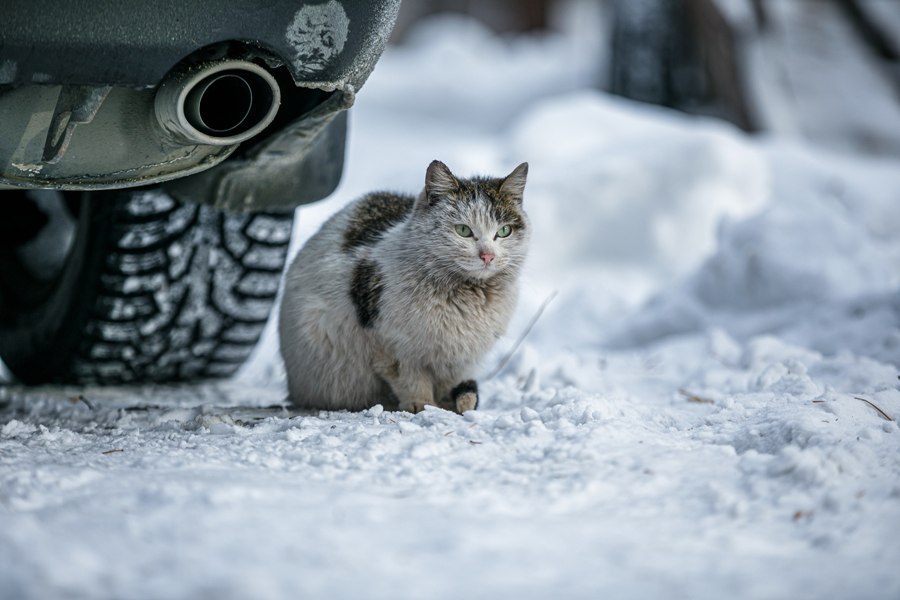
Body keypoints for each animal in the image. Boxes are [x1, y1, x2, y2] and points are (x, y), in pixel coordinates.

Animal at [276, 159, 528, 412]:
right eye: (463, 230)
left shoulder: (460, 357)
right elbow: (410, 378)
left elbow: (452, 384)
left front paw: (455, 409)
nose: (488, 256)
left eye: (504, 231)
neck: (468, 296)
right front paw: (422, 406)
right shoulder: (389, 344)